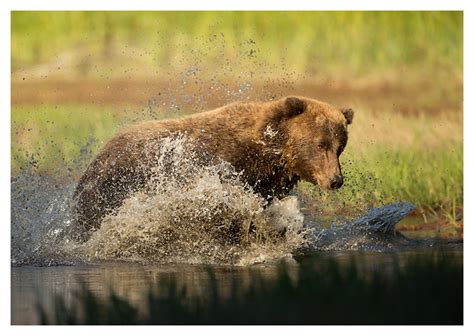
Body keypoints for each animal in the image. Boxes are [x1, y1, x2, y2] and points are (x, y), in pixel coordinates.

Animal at [70, 96, 352, 242]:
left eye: (340, 147)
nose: (335, 180)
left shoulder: (267, 183)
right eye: (321, 144)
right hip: (114, 186)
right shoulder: (221, 166)